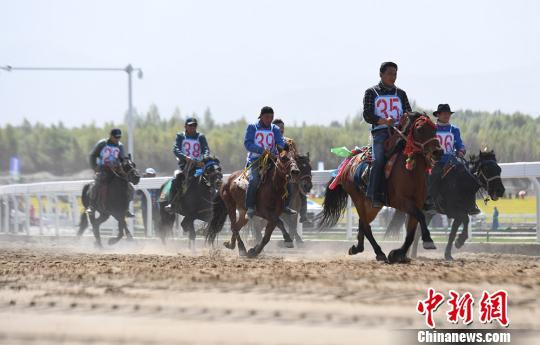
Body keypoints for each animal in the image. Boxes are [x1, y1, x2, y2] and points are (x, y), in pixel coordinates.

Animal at [316, 111, 442, 262]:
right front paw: (428, 240)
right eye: (420, 128)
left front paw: (398, 254)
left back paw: (357, 248)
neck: (410, 171)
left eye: (434, 128)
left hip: (372, 205)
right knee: (366, 225)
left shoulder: (417, 203)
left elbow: (411, 233)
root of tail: (349, 161)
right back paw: (379, 252)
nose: (438, 152)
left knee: (362, 223)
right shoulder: (401, 202)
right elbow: (420, 218)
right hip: (358, 199)